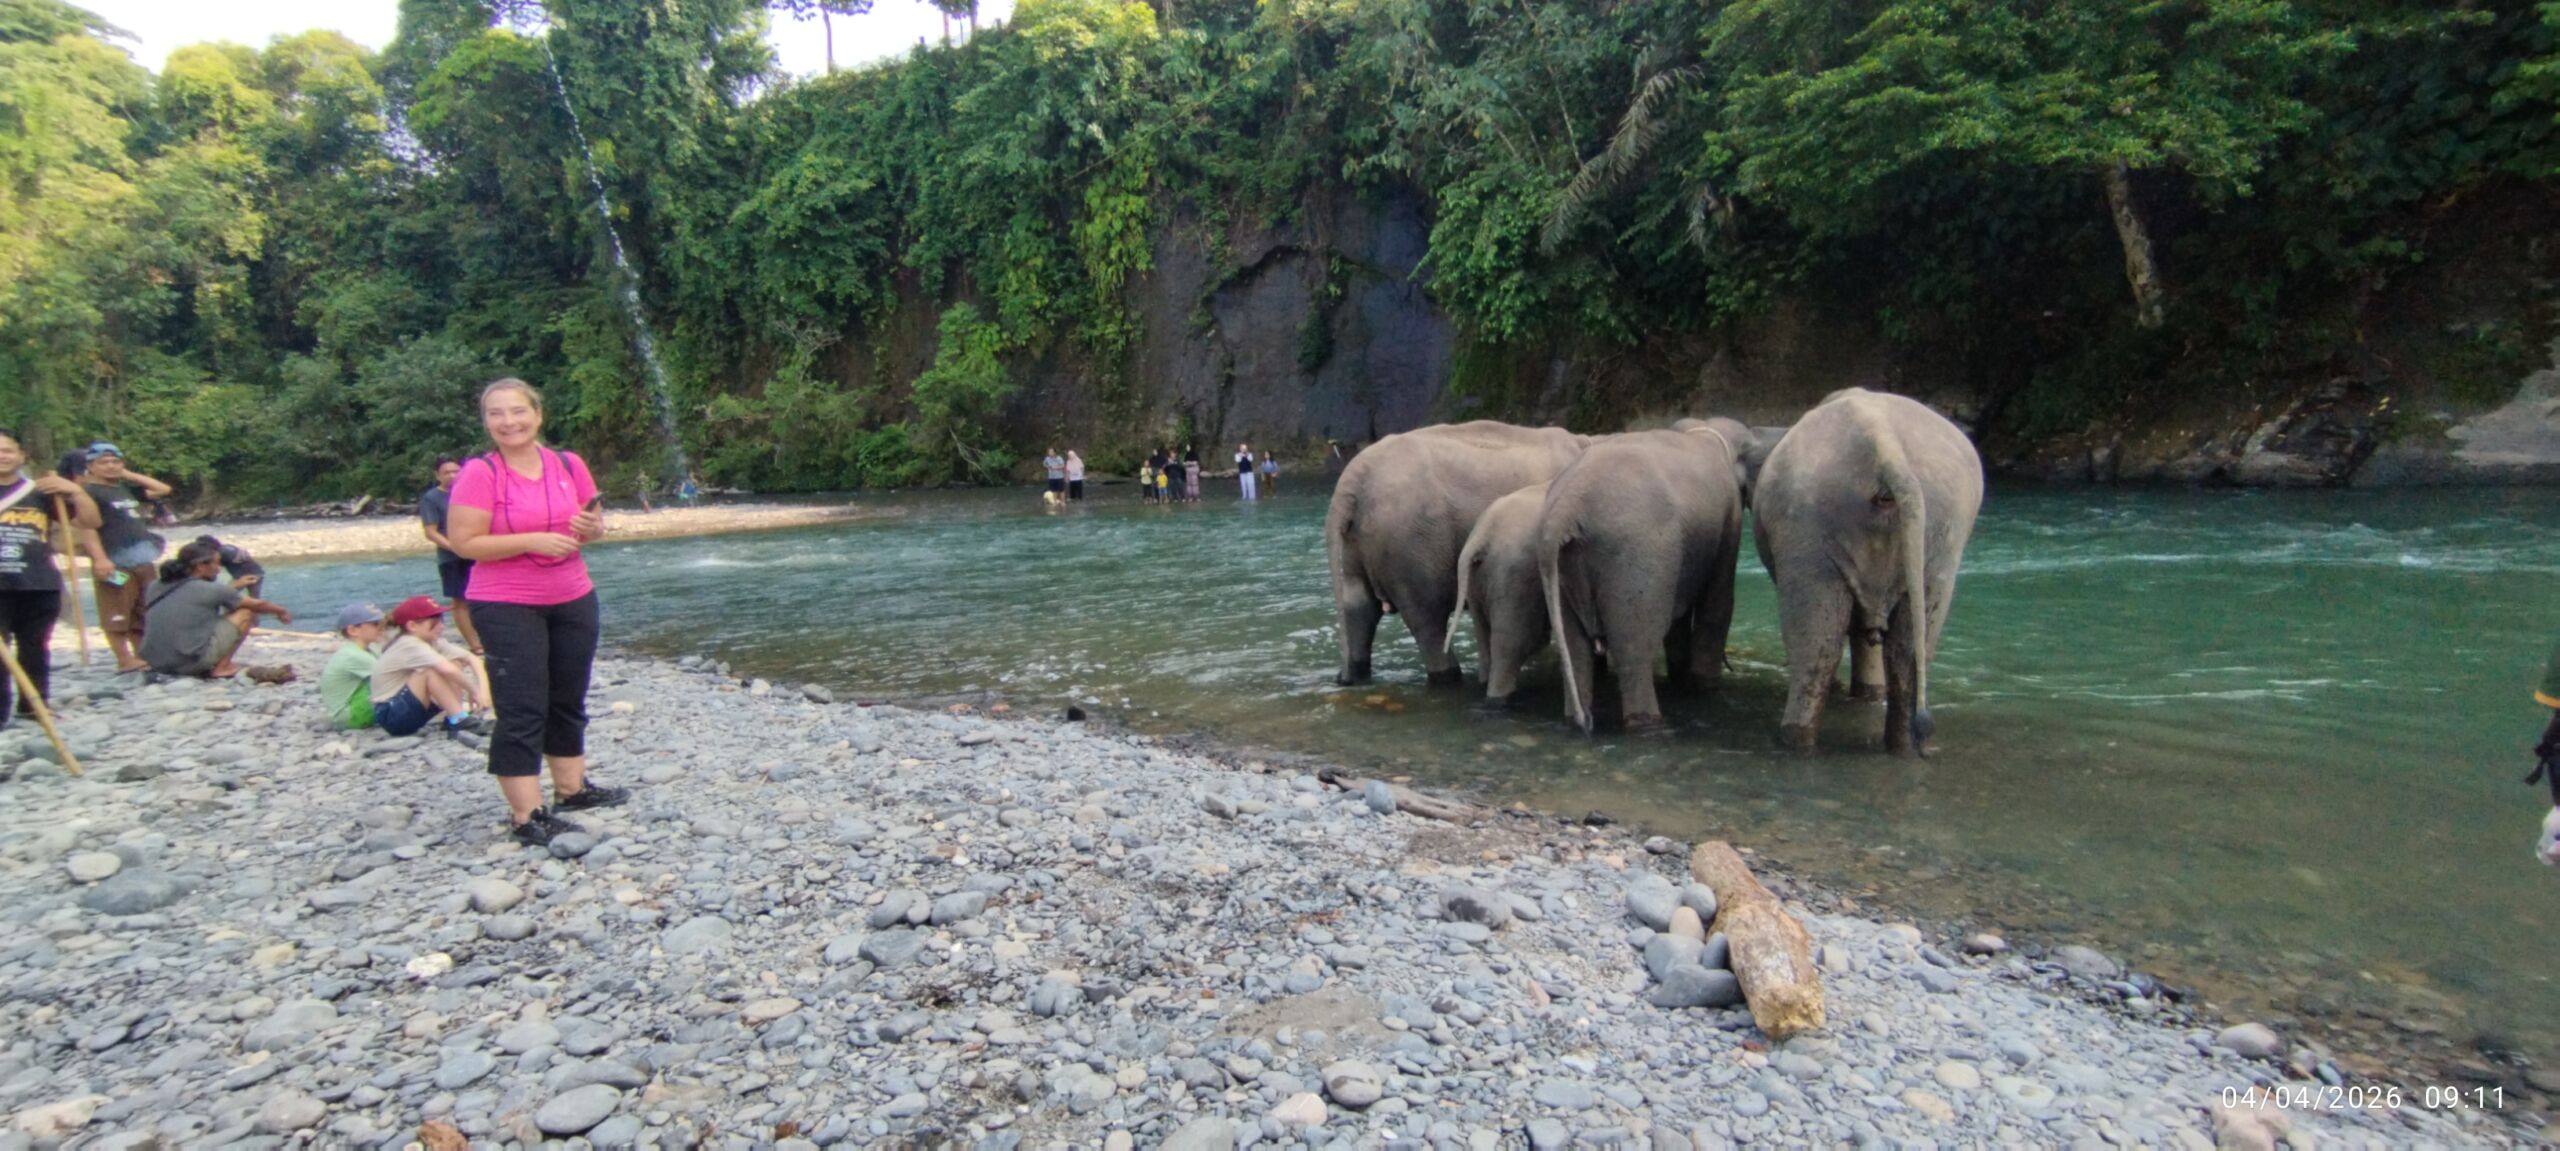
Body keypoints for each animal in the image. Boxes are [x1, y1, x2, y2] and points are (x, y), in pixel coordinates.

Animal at [1537, 421, 1751, 732]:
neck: (1703, 431)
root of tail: (1565, 508)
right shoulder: (1729, 514)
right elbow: (1718, 604)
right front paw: (1705, 688)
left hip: (1565, 569)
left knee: (1576, 649)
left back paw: (1579, 722)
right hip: (1635, 555)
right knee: (1634, 650)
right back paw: (1647, 724)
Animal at [1751, 388, 1983, 755]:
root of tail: (1886, 447)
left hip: (1812, 528)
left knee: (1819, 647)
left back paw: (1795, 743)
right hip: (1938, 533)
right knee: (1904, 648)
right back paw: (1903, 748)